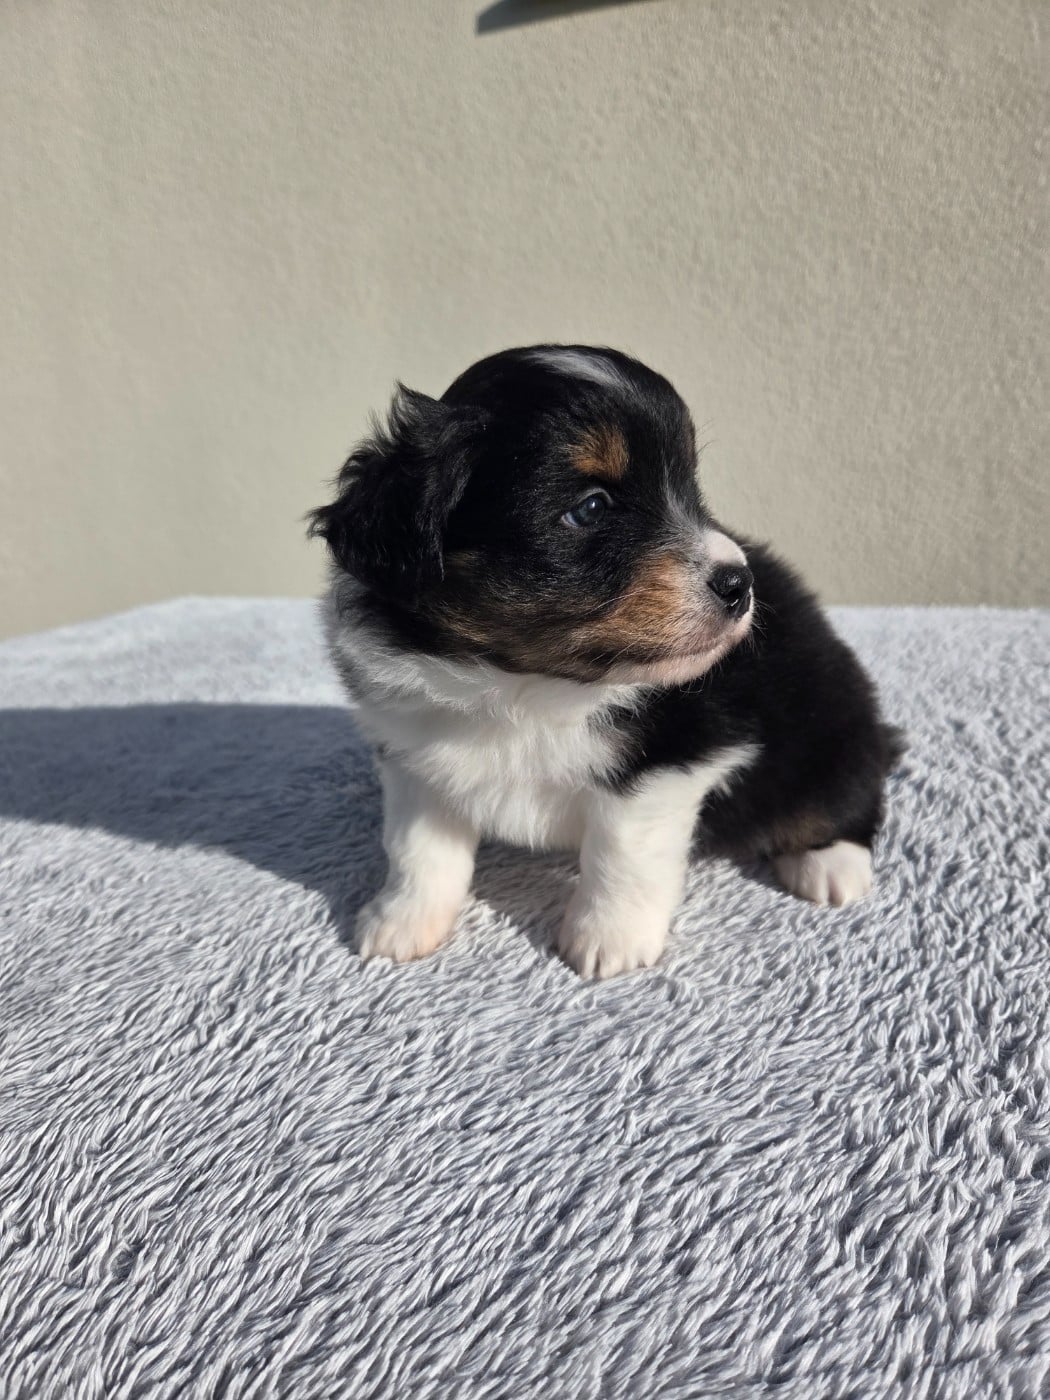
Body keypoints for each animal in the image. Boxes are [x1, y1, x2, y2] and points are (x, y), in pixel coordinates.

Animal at [309, 345, 902, 977]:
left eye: (689, 486)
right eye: (590, 508)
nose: (738, 585)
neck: (520, 684)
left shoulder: (663, 766)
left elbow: (621, 854)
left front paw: (608, 941)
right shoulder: (414, 758)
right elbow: (418, 850)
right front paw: (400, 922)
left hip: (831, 725)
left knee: (852, 790)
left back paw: (830, 864)